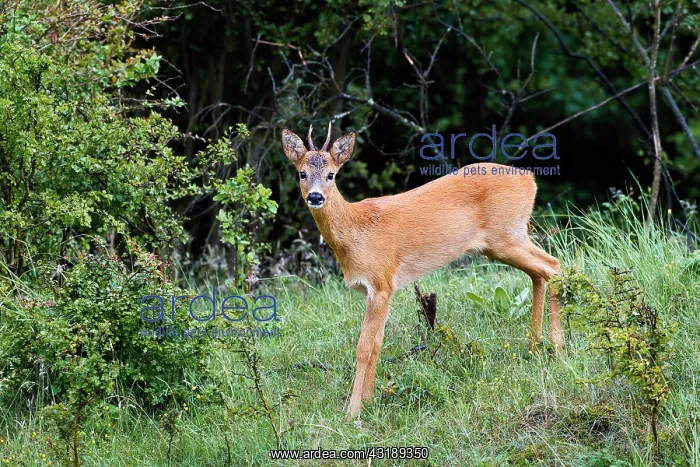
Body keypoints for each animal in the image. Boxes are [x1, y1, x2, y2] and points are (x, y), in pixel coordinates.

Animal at [281, 123, 563, 420]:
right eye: (302, 173)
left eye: (331, 175)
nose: (315, 196)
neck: (354, 231)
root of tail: (530, 179)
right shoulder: (384, 289)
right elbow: (378, 343)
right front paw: (369, 402)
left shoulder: (380, 282)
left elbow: (364, 347)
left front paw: (352, 413)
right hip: (503, 242)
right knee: (540, 272)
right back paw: (535, 347)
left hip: (506, 235)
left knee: (552, 266)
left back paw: (556, 347)